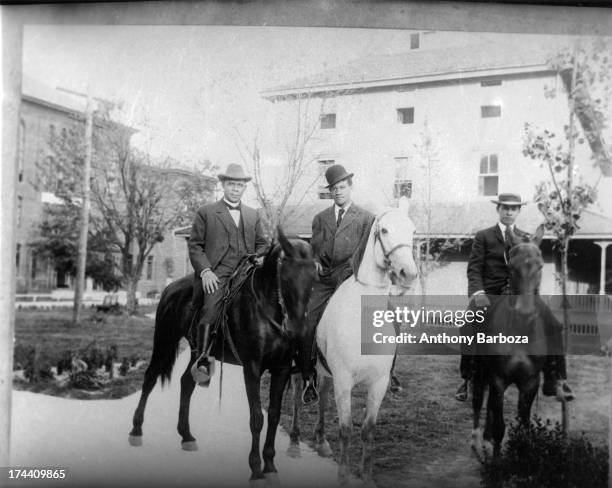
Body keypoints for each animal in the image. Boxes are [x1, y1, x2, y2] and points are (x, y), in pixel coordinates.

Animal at [128, 232, 316, 484]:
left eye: (314, 276)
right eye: (286, 275)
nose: (297, 329)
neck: (268, 307)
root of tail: (170, 288)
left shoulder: (282, 369)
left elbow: (274, 416)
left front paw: (270, 466)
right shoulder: (252, 368)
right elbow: (257, 418)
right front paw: (256, 470)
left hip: (197, 352)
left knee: (186, 382)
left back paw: (186, 435)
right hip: (164, 342)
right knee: (149, 379)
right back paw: (136, 430)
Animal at [290, 205, 418, 484]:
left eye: (413, 230)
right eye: (384, 230)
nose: (409, 274)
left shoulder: (378, 383)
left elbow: (368, 430)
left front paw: (366, 476)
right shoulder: (344, 380)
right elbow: (346, 429)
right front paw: (344, 476)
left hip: (326, 372)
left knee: (323, 396)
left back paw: (321, 441)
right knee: (296, 397)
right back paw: (294, 442)